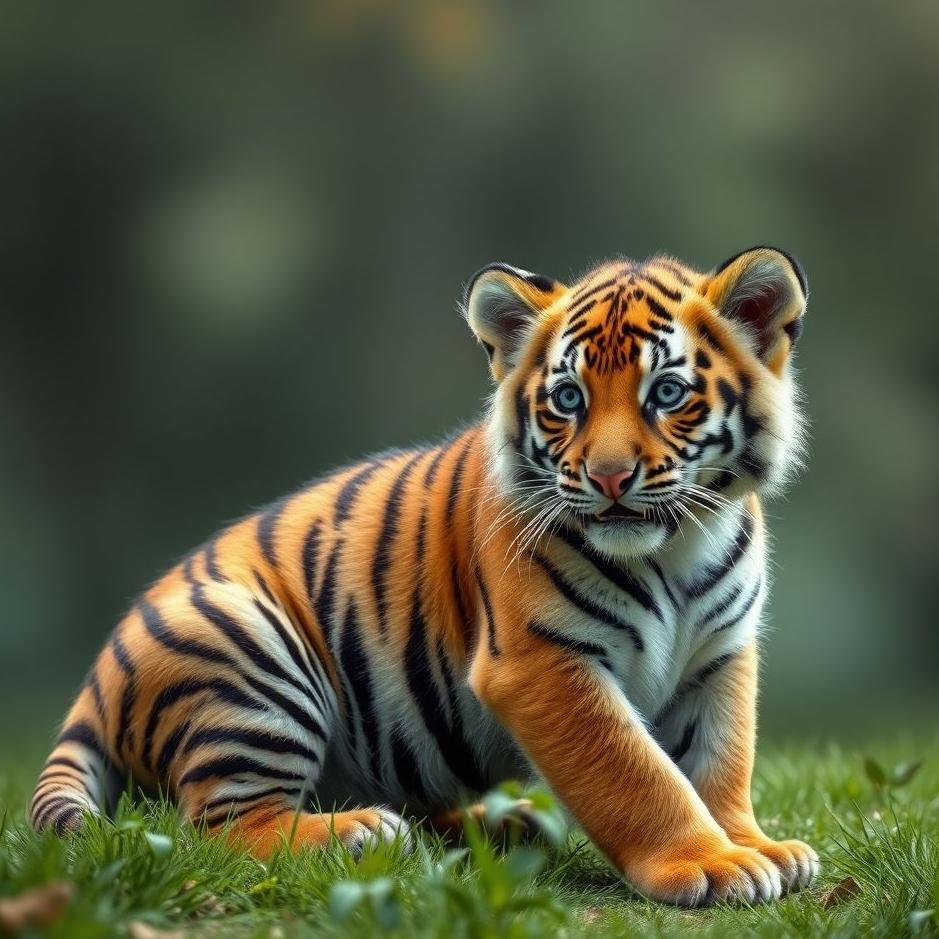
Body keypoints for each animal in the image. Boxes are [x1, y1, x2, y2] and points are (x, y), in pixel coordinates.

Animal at [31, 245, 818, 906]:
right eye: (568, 399)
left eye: (666, 393)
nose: (608, 477)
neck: (678, 548)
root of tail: (94, 682)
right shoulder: (541, 662)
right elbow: (637, 773)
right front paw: (708, 862)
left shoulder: (719, 655)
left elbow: (719, 762)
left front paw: (752, 845)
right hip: (248, 656)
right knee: (216, 824)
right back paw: (357, 831)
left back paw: (503, 824)